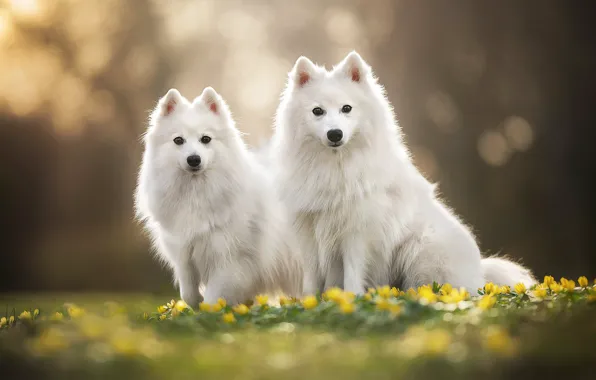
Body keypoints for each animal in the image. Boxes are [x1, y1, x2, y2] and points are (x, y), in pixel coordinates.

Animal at [136, 87, 302, 306]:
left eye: (206, 139)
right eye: (178, 140)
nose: (194, 159)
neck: (197, 192)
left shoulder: (229, 261)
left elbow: (213, 300)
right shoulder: (184, 254)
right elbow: (188, 294)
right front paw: (196, 302)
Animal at [270, 51, 536, 294]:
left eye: (347, 108)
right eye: (318, 111)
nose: (335, 134)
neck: (335, 166)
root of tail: (480, 272)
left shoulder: (357, 232)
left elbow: (353, 274)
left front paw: (352, 299)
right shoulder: (309, 232)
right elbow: (311, 280)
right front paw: (310, 302)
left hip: (422, 253)